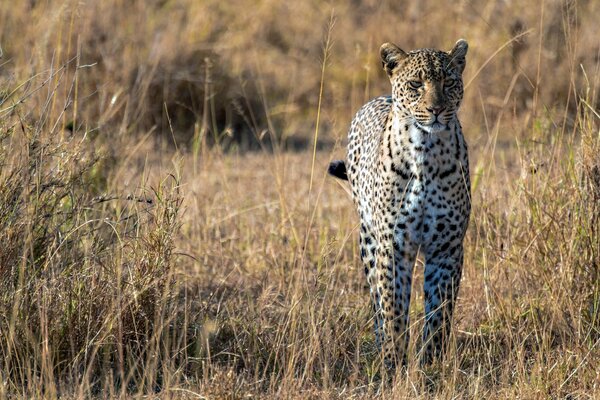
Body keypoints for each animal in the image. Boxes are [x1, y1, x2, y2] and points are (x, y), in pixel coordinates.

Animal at [330, 39, 472, 368]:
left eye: (449, 82)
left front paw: (431, 362)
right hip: (368, 240)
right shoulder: (393, 244)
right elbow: (393, 306)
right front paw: (394, 361)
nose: (437, 109)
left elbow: (439, 310)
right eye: (416, 84)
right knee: (377, 300)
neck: (426, 151)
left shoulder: (447, 247)